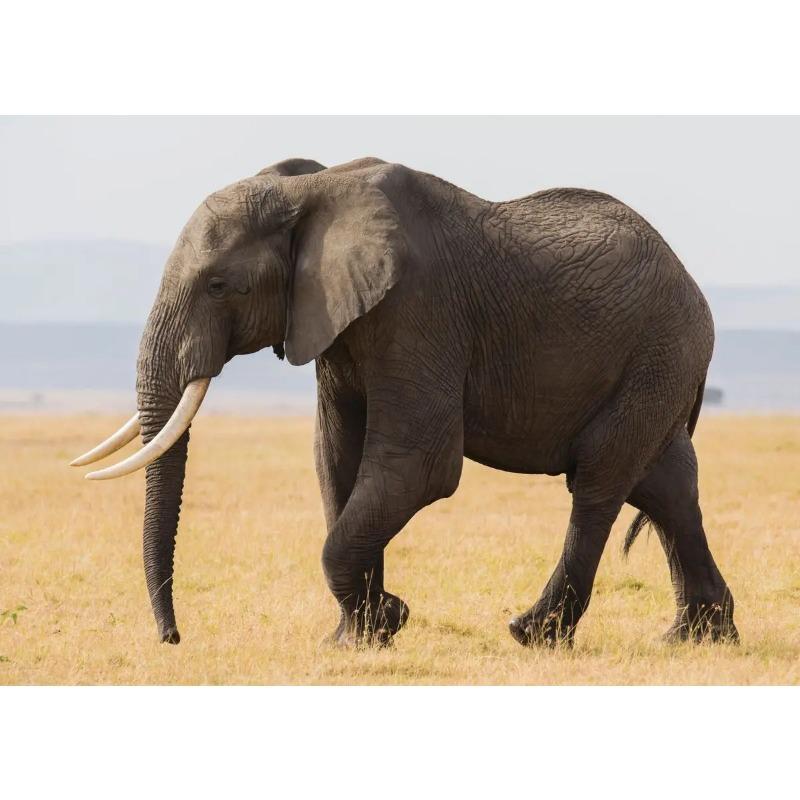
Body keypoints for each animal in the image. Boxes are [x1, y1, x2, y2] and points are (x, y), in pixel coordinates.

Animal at [72, 156, 738, 648]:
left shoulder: (419, 310)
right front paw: (356, 637)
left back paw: (534, 635)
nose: (173, 639)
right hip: (659, 367)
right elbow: (336, 459)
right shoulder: (335, 324)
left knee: (600, 479)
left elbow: (418, 465)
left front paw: (387, 618)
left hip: (659, 351)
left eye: (217, 285)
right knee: (666, 484)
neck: (311, 190)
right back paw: (694, 639)